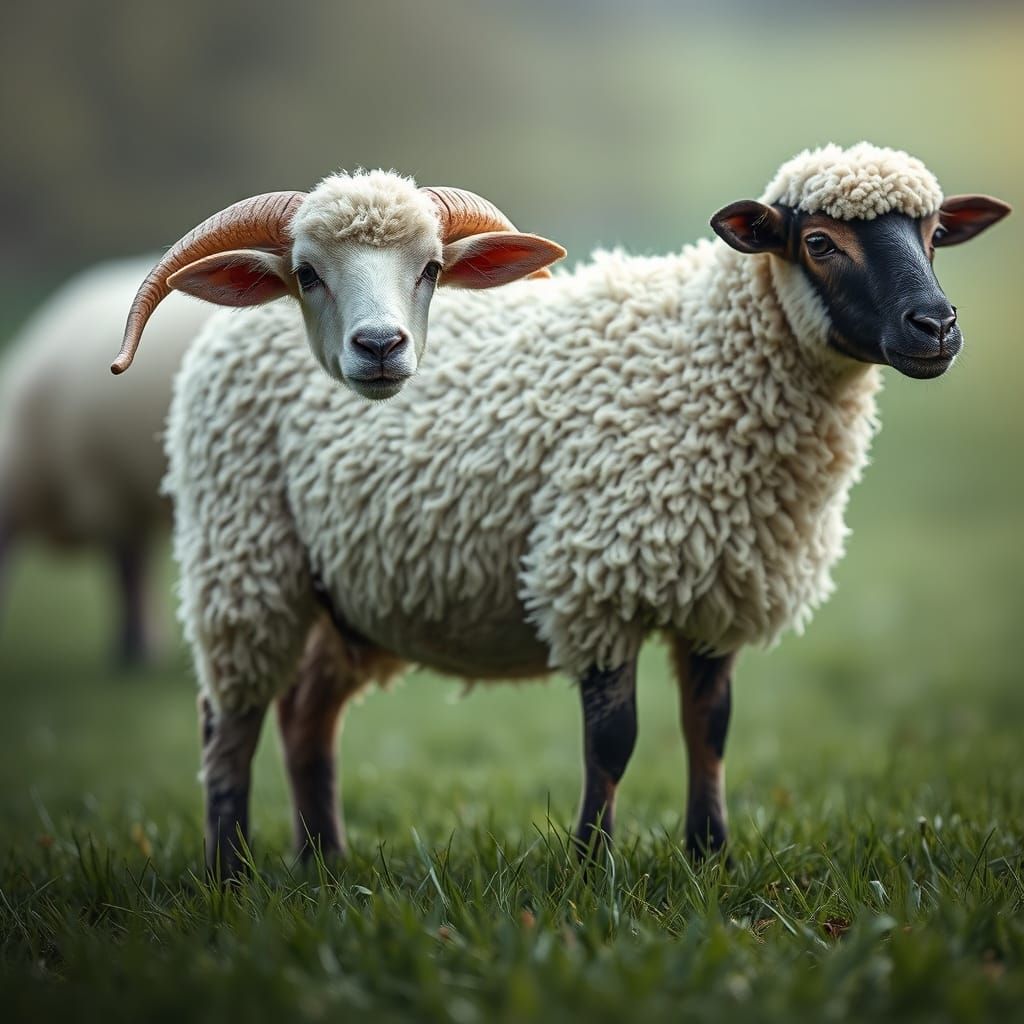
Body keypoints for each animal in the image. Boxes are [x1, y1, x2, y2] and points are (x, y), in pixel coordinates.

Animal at [0, 259, 211, 664]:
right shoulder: (123, 495)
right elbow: (134, 569)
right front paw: (144, 647)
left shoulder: (106, 493)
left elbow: (127, 571)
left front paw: (134, 651)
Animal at [141, 143, 1009, 875]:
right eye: (822, 243)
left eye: (934, 234)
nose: (936, 327)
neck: (708, 358)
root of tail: (245, 314)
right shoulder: (598, 577)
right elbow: (613, 742)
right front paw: (593, 868)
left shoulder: (718, 588)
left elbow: (710, 728)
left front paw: (710, 859)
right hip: (243, 561)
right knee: (229, 724)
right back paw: (231, 875)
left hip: (343, 596)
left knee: (306, 720)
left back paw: (324, 865)